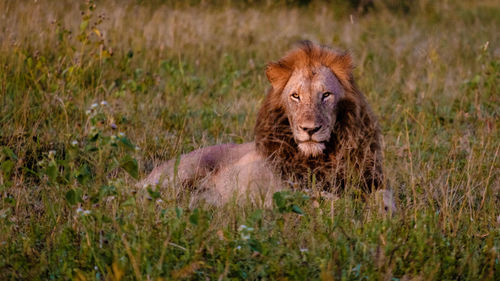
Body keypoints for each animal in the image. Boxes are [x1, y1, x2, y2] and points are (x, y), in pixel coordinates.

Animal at [140, 40, 394, 210]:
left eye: (326, 95)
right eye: (295, 96)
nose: (310, 129)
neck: (322, 157)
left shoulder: (371, 179)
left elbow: (386, 198)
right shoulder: (286, 191)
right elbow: (327, 201)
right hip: (182, 172)